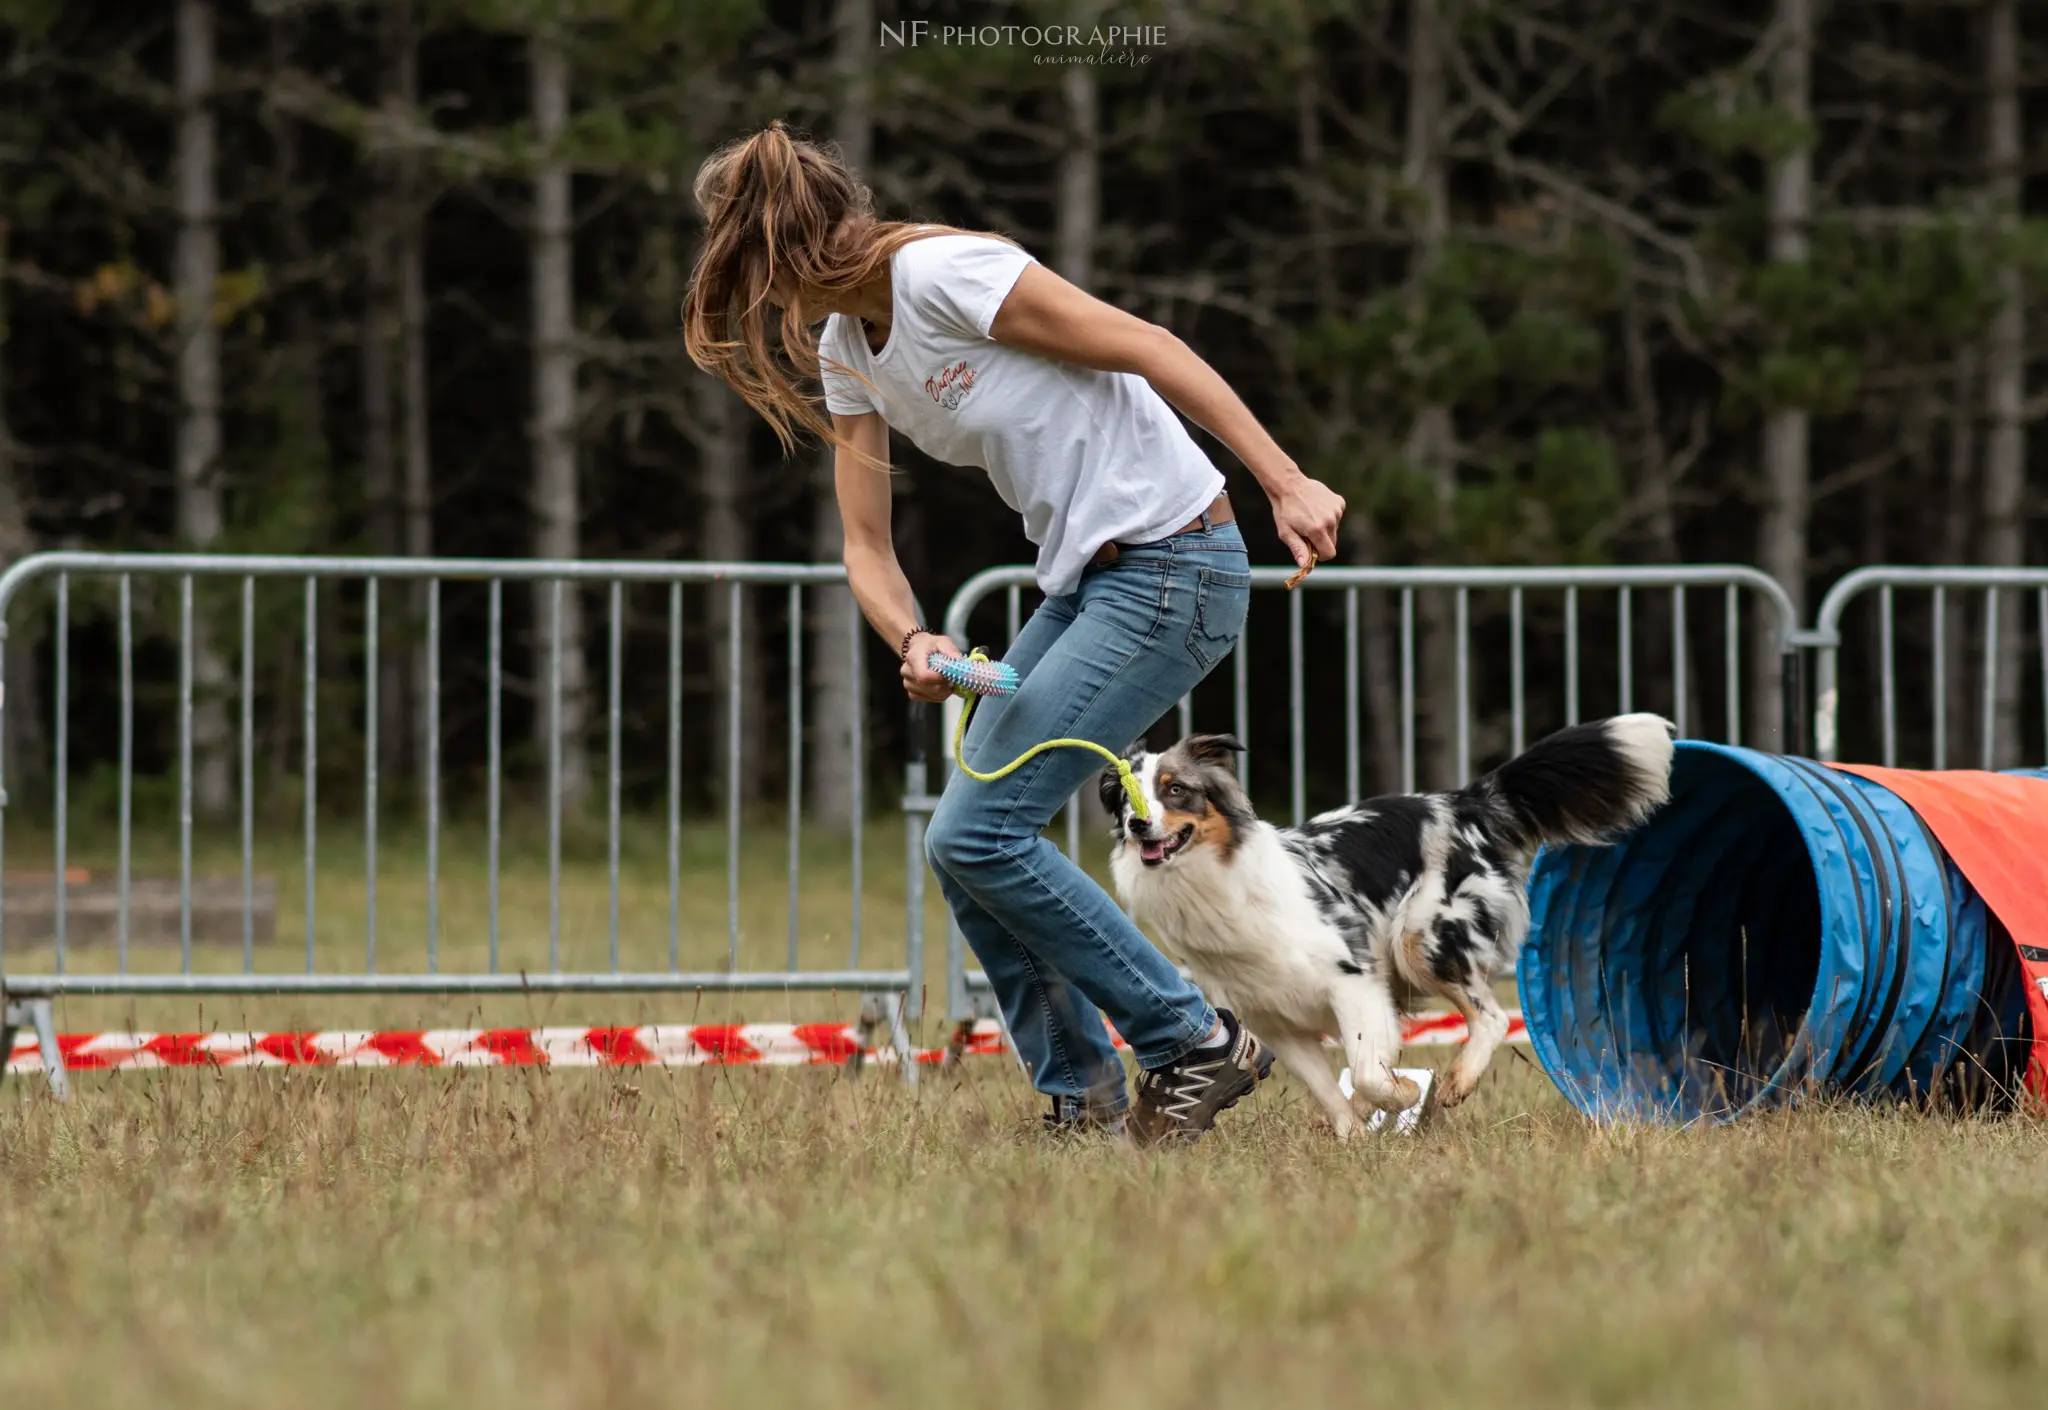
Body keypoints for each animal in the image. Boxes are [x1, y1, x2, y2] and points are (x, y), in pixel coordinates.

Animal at [1097, 717, 1671, 1131]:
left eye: (1175, 789)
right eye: (1125, 796)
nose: (1138, 824)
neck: (1214, 880)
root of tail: (1462, 800)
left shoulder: (1353, 979)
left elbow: (1368, 1072)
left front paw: (1405, 1094)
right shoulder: (1274, 1018)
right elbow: (1330, 1087)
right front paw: (1354, 1135)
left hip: (1423, 937)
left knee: (1487, 1016)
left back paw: (1456, 1081)